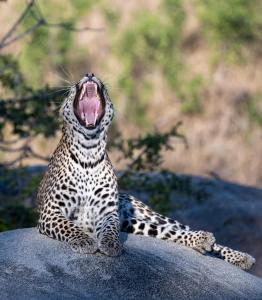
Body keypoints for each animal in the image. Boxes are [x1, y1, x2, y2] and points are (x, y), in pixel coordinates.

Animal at [35, 72, 255, 270]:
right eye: (73, 86)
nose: (89, 74)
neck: (88, 153)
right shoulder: (51, 211)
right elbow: (69, 226)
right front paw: (85, 241)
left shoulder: (108, 213)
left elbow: (109, 230)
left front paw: (110, 244)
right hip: (133, 222)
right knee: (166, 231)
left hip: (147, 215)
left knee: (177, 228)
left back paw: (235, 254)